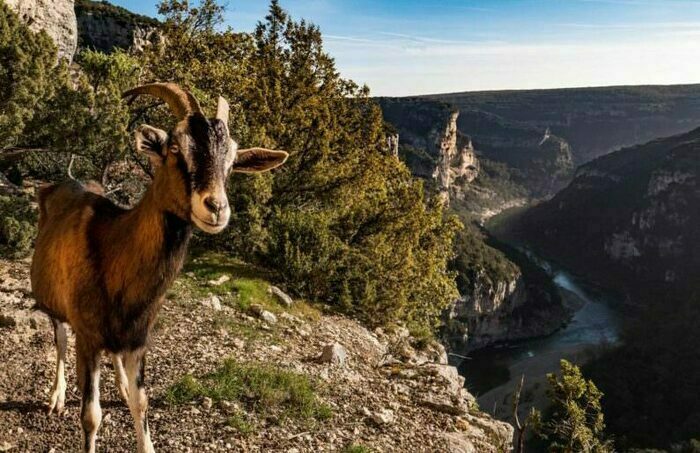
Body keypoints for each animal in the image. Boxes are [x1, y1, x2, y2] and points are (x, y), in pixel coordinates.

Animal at [30, 82, 288, 452]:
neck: (113, 251)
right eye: (175, 148)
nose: (216, 207)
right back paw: (57, 396)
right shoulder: (89, 337)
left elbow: (142, 402)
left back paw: (120, 385)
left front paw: (133, 403)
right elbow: (91, 415)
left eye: (232, 162)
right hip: (54, 303)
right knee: (61, 340)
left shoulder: (139, 338)